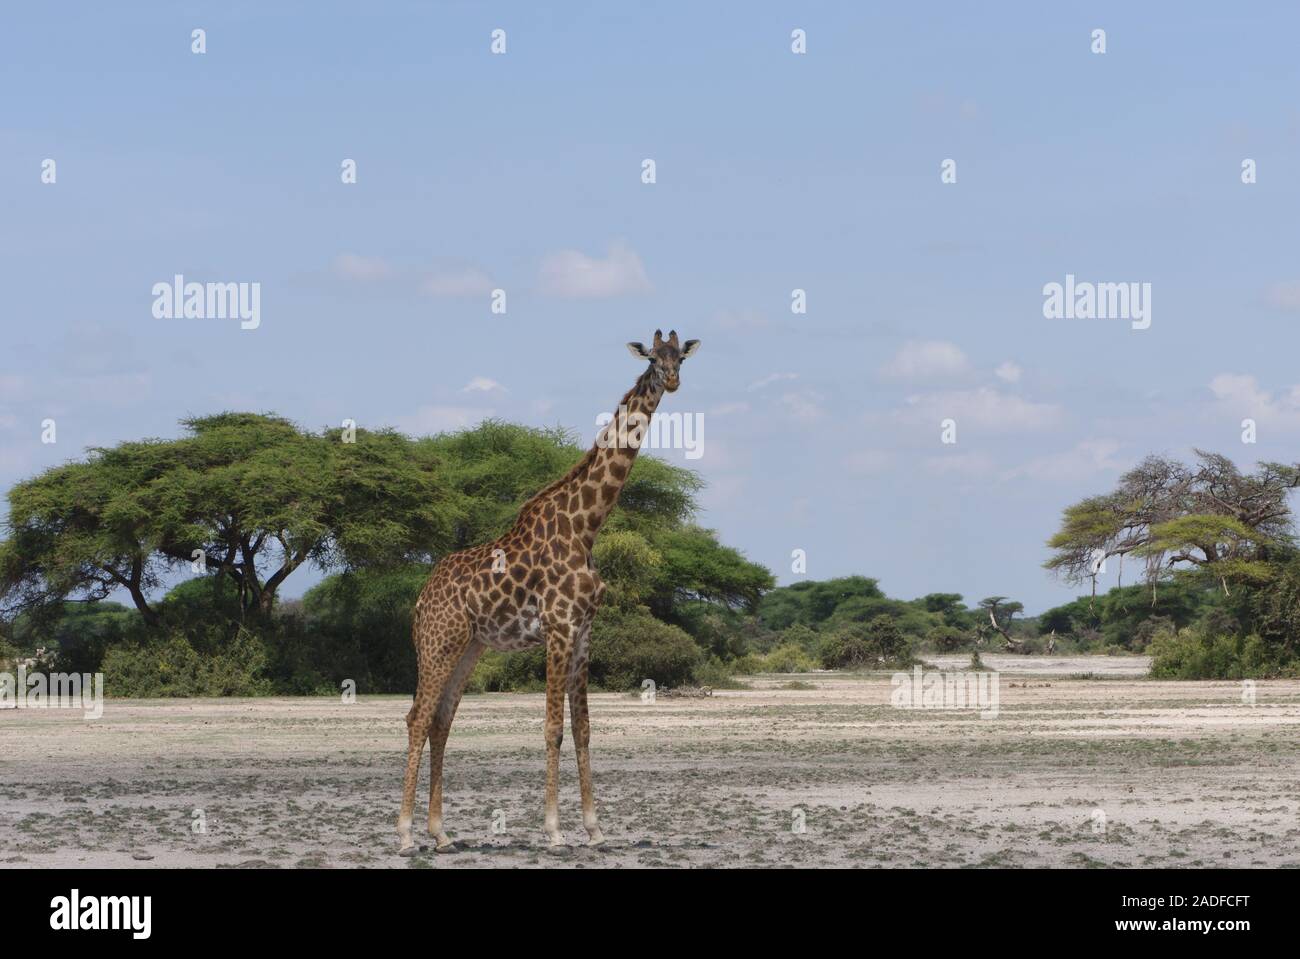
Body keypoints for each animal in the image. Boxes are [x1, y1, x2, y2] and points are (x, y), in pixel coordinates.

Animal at [397, 329, 701, 855]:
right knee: (417, 717)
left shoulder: (583, 631)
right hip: (439, 642)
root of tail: (421, 597)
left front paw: (595, 828)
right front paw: (555, 830)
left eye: (680, 357)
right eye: (652, 359)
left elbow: (583, 728)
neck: (587, 528)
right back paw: (404, 834)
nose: (673, 381)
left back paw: (440, 833)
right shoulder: (558, 627)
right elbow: (553, 728)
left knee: (440, 720)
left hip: (470, 646)